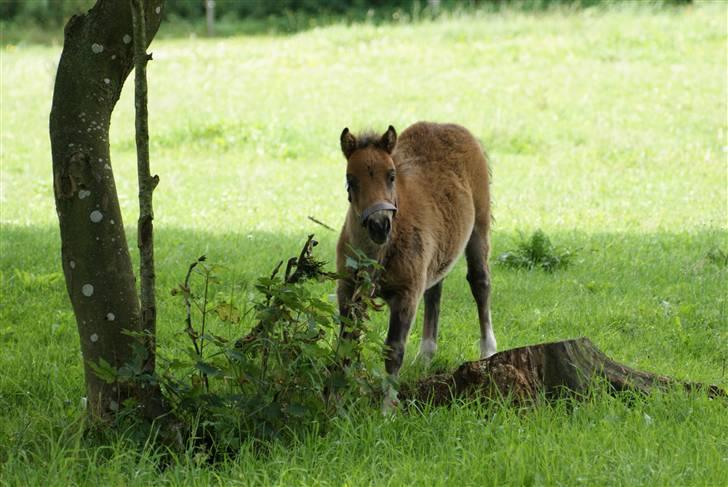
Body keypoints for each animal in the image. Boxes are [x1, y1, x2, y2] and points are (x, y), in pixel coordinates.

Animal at [334, 122, 494, 382]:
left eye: (391, 175)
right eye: (351, 179)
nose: (379, 225)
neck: (377, 252)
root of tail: (447, 125)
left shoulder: (406, 294)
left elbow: (393, 351)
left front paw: (389, 395)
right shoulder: (347, 288)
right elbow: (346, 341)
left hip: (479, 228)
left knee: (480, 282)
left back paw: (488, 351)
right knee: (434, 289)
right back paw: (426, 355)